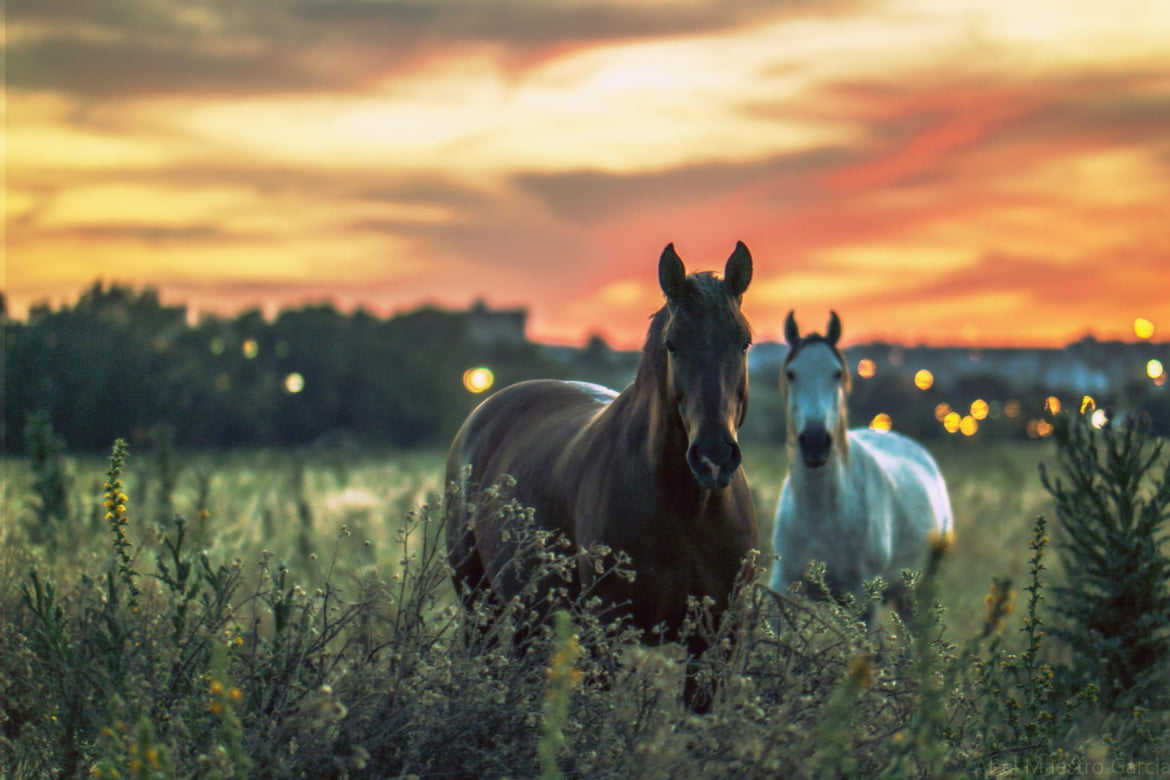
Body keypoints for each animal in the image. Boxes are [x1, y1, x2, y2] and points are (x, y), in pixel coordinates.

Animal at [446, 242, 759, 710]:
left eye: (744, 343)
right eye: (673, 345)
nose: (714, 458)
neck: (688, 507)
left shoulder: (715, 640)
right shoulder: (607, 631)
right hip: (479, 602)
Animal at [769, 310, 953, 625]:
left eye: (836, 373)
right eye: (792, 373)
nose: (815, 442)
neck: (821, 514)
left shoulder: (864, 601)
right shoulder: (783, 585)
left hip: (915, 592)